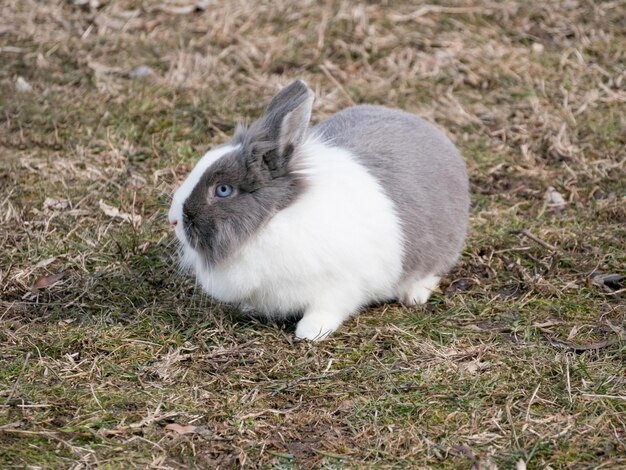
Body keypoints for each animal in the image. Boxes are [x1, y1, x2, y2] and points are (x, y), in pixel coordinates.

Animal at [167, 79, 468, 340]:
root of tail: (435, 136)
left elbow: (326, 309)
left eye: (223, 190)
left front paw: (310, 333)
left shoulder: (339, 286)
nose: (173, 220)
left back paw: (414, 295)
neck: (274, 218)